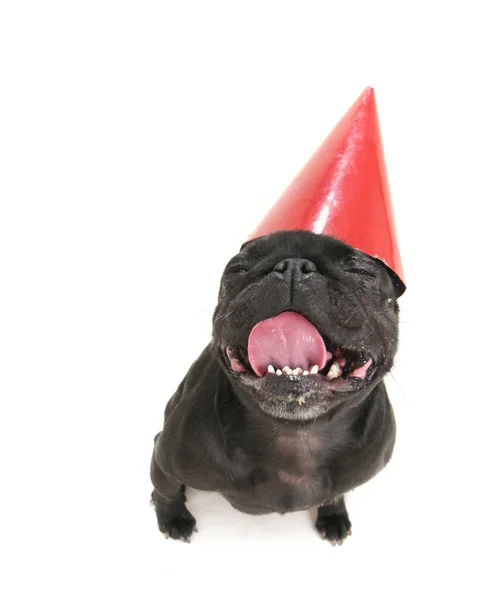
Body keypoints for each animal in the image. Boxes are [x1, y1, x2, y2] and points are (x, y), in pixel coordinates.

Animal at [151, 230, 404, 544]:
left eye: (360, 271)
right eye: (238, 269)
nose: (293, 266)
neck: (297, 434)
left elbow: (335, 495)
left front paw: (333, 516)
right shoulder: (164, 460)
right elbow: (165, 489)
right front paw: (173, 517)